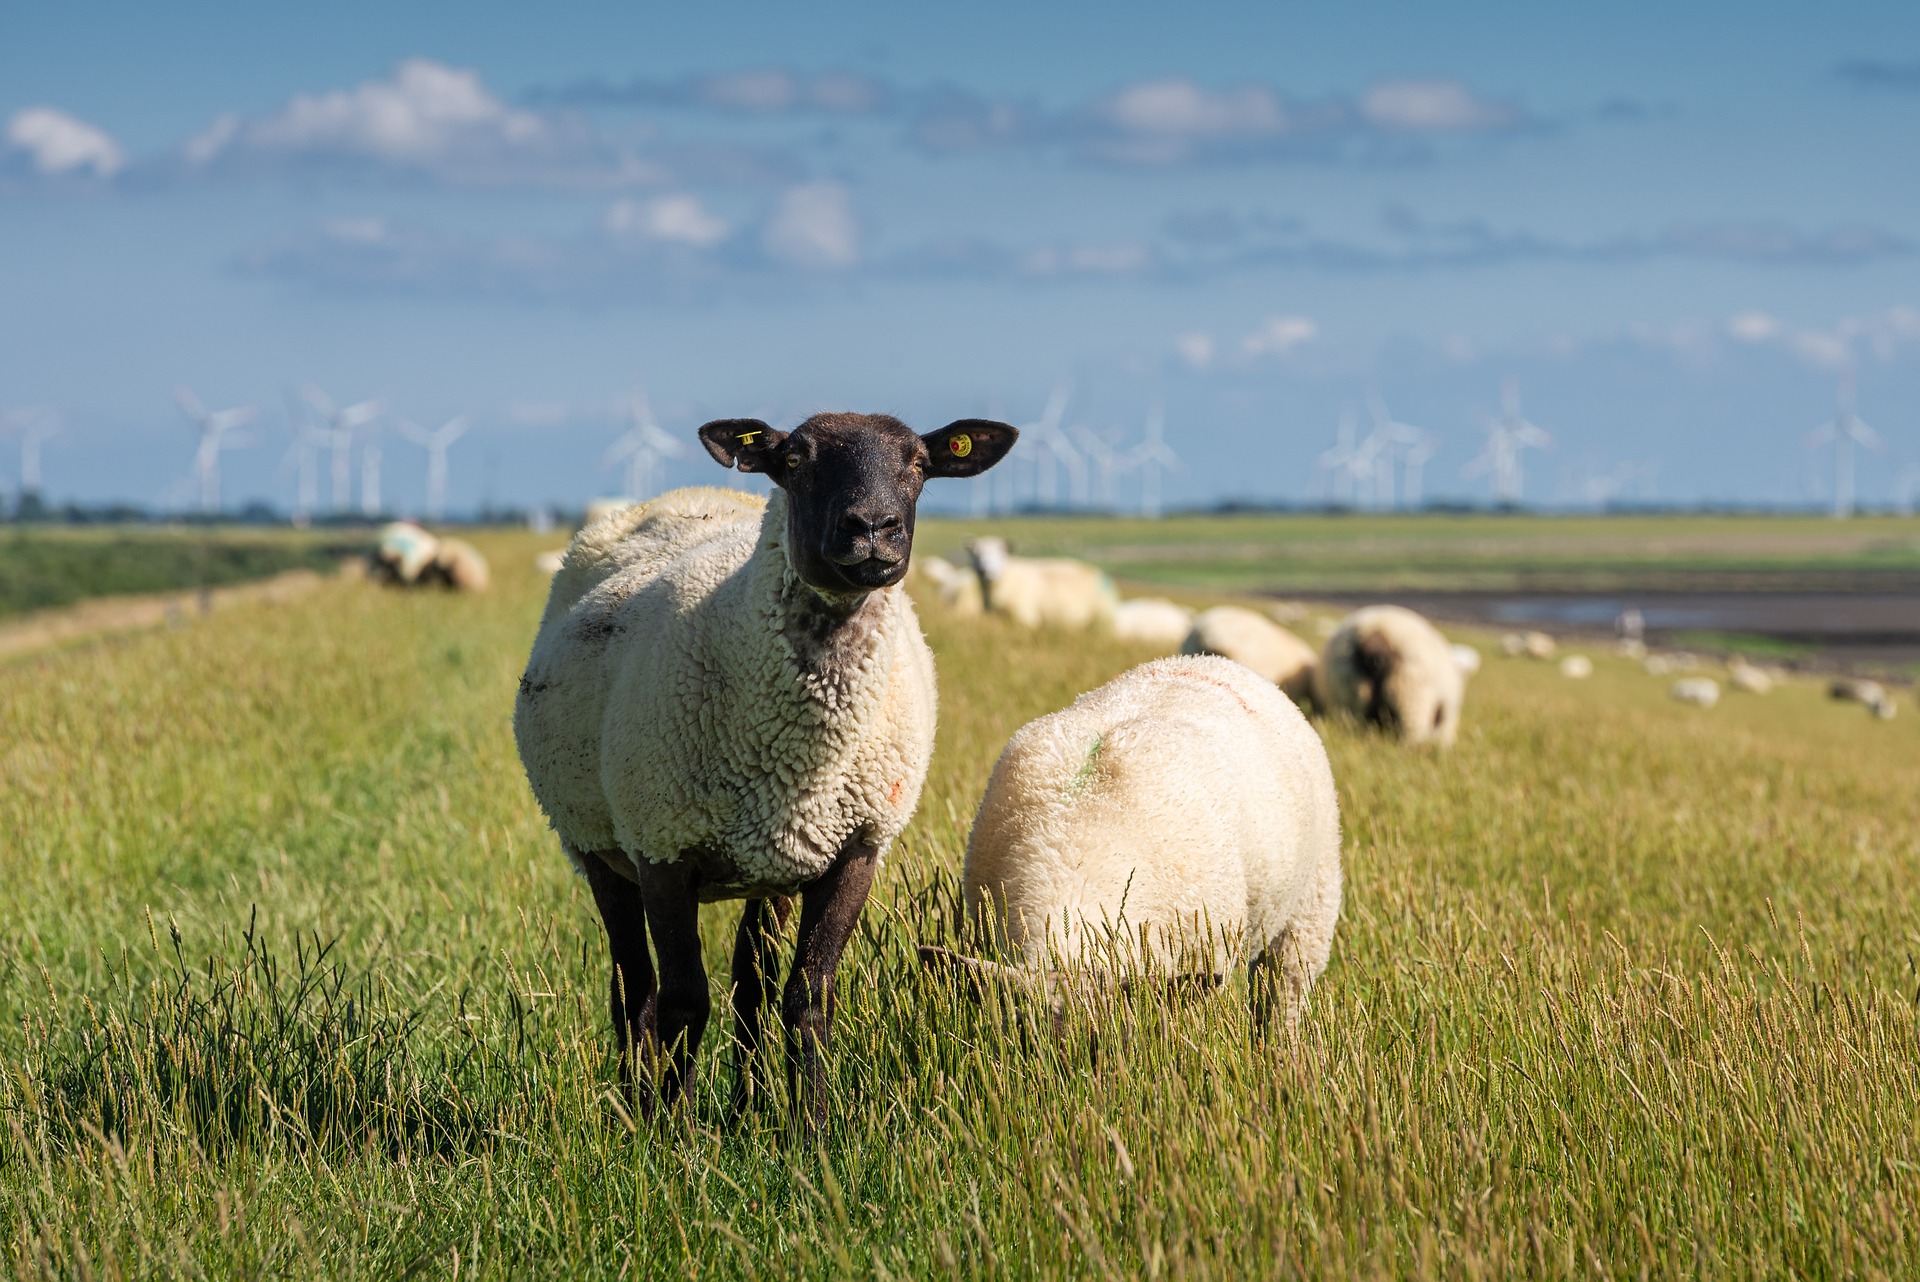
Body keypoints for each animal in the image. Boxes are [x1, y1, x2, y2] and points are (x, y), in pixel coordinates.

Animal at [514, 411, 1016, 1126]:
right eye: (795, 459)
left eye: (920, 464)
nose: (873, 527)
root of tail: (683, 495)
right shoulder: (662, 847)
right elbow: (683, 1000)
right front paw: (670, 1130)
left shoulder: (854, 850)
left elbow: (807, 996)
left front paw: (812, 1129)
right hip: (597, 842)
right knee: (635, 988)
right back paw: (638, 1102)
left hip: (774, 865)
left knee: (749, 985)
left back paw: (748, 1106)